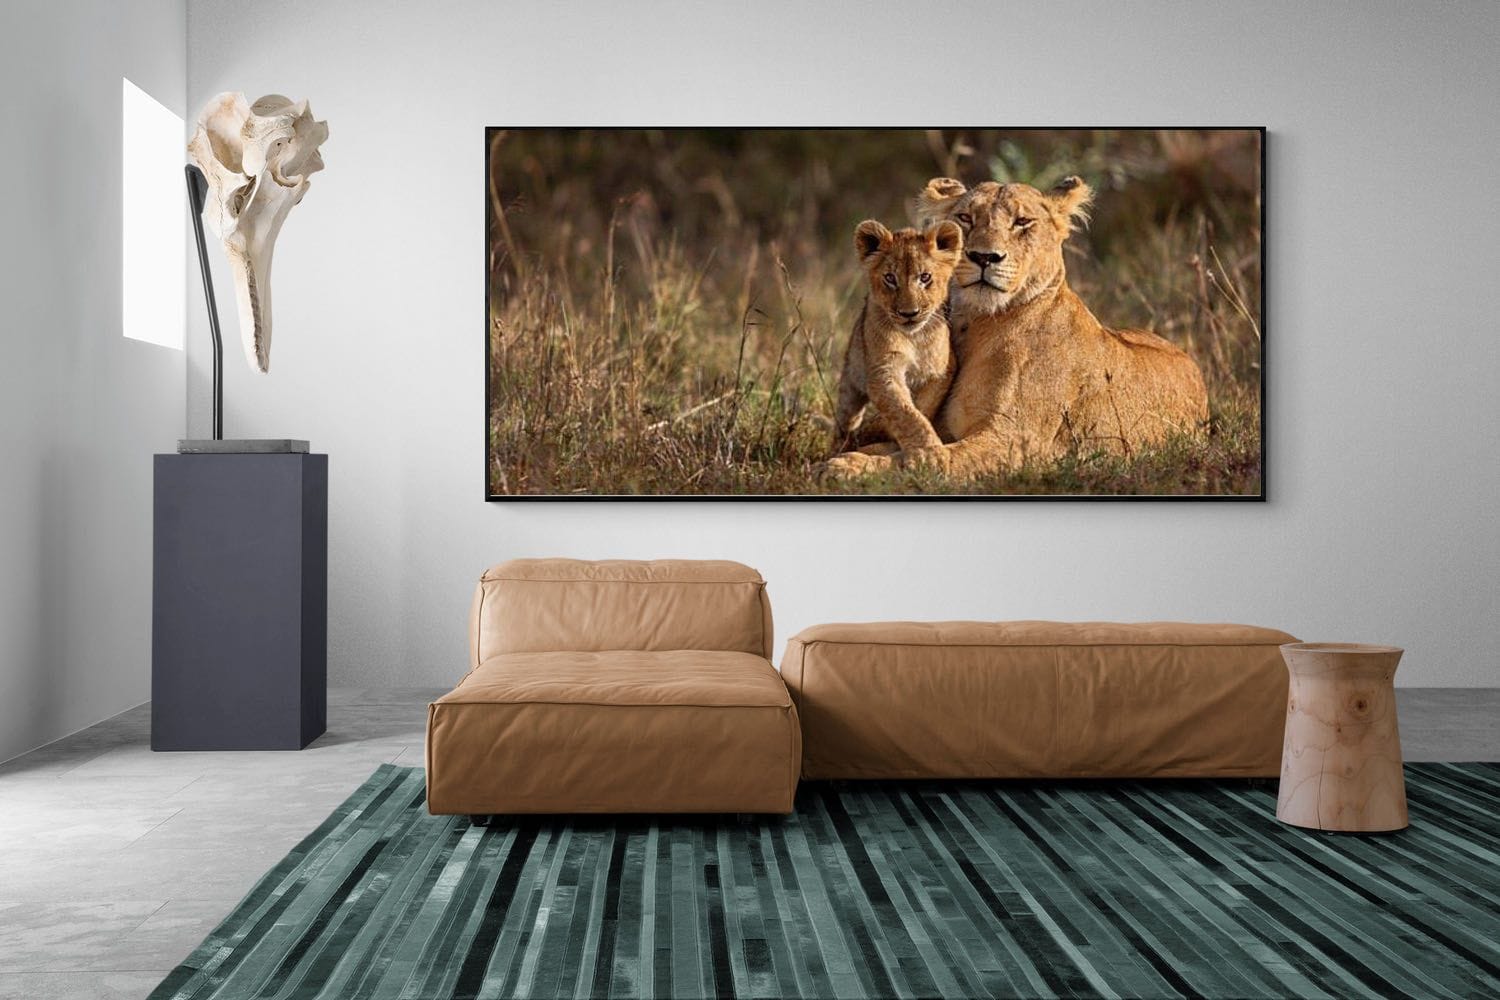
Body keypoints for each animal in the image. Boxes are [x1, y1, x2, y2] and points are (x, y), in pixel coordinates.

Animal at [830, 219, 964, 455]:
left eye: (925, 277)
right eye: (890, 278)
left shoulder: (942, 371)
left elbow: (921, 407)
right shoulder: (883, 370)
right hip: (851, 381)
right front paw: (929, 452)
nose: (909, 313)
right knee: (845, 419)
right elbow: (905, 413)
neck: (914, 338)